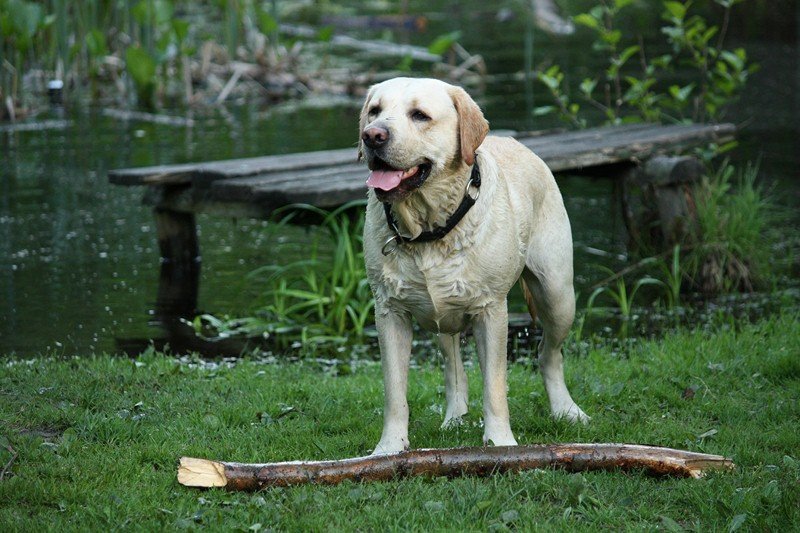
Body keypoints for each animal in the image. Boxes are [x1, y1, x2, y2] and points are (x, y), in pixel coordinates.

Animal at [360, 78, 584, 454]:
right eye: (374, 111)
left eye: (419, 115)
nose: (372, 135)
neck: (430, 229)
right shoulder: (389, 311)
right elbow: (395, 391)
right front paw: (389, 447)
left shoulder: (491, 310)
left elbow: (495, 386)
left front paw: (501, 443)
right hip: (440, 313)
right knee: (453, 364)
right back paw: (454, 417)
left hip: (557, 292)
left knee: (548, 353)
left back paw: (567, 410)